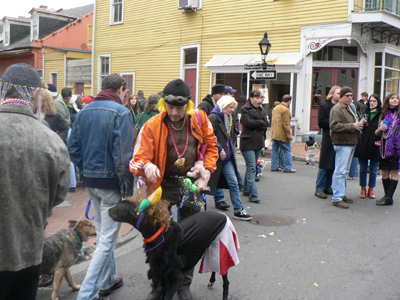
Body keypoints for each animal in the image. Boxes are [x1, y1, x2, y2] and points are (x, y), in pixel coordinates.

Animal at [108, 199, 238, 300]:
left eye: (117, 210)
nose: (108, 210)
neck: (158, 234)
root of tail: (223, 215)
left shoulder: (176, 276)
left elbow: (167, 296)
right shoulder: (163, 272)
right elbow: (163, 293)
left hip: (223, 246)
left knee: (226, 281)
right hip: (212, 246)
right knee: (215, 267)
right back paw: (211, 280)